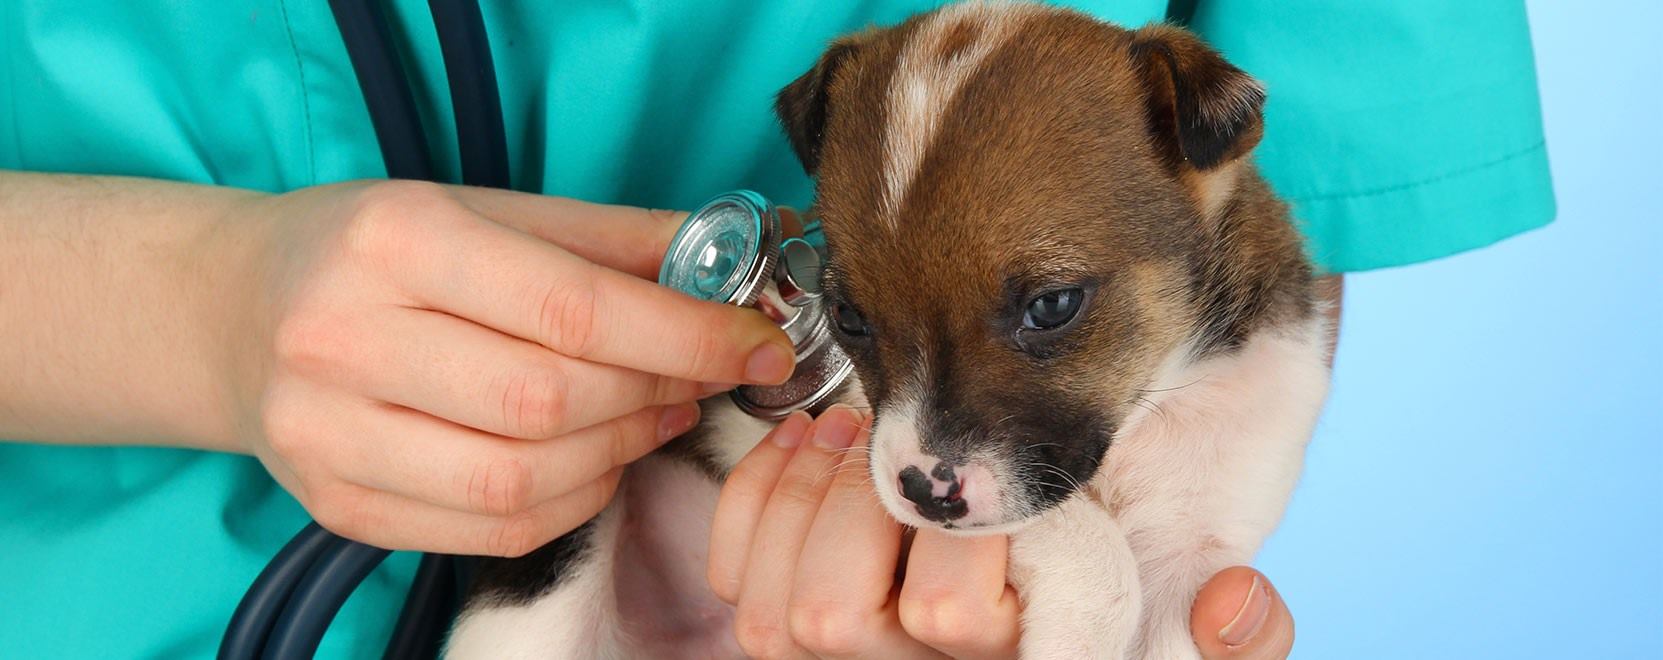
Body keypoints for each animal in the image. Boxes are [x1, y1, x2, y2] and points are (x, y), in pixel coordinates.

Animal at [442, 2, 1323, 655]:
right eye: (847, 317)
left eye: (1052, 306)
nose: (922, 493)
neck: (1144, 413)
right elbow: (1096, 556)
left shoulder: (1195, 556)